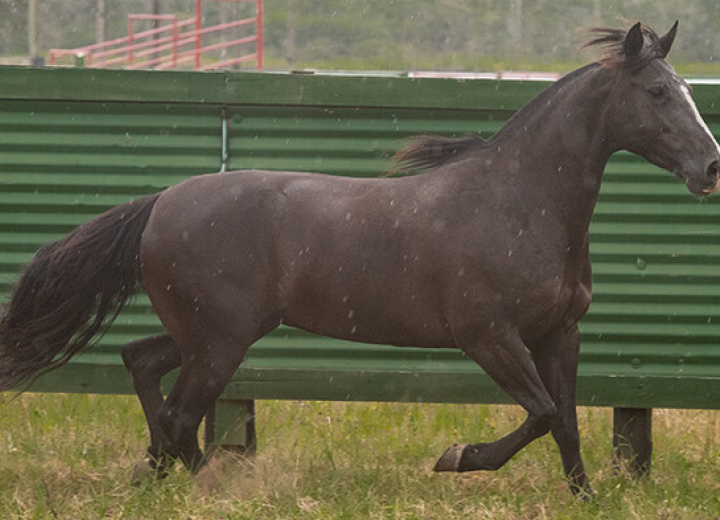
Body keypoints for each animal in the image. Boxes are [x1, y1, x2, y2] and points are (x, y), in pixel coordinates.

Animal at [1, 22, 720, 498]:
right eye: (659, 93)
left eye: (685, 89)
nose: (711, 167)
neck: (519, 203)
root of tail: (159, 205)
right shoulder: (489, 336)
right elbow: (541, 414)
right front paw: (456, 457)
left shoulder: (558, 333)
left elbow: (566, 422)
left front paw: (586, 499)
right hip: (221, 341)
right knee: (179, 414)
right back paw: (209, 488)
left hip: (206, 333)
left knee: (143, 367)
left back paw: (153, 474)